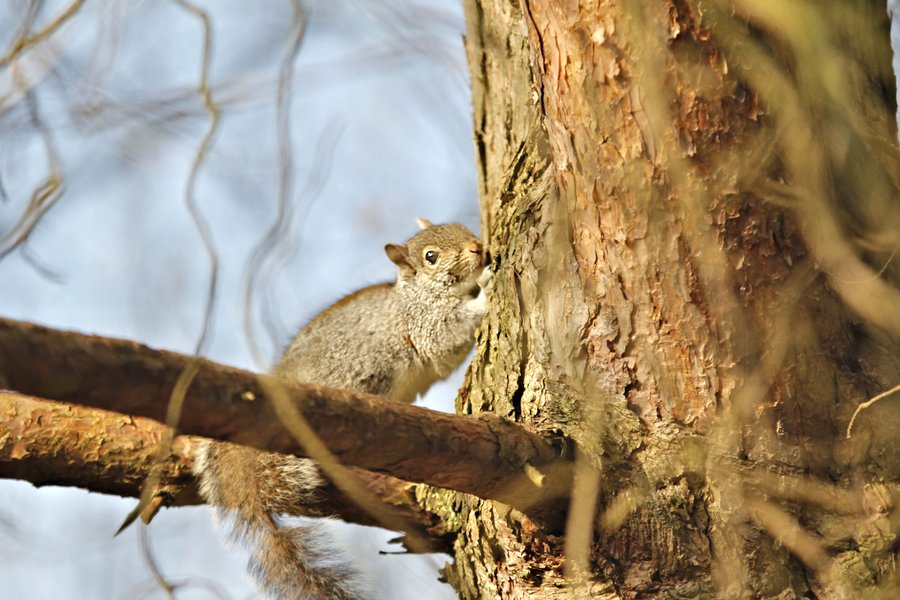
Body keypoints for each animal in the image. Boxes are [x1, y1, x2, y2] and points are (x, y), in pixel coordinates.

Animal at [193, 219, 490, 600]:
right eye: (431, 257)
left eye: (458, 226)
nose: (477, 248)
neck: (416, 294)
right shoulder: (424, 326)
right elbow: (446, 336)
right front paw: (486, 291)